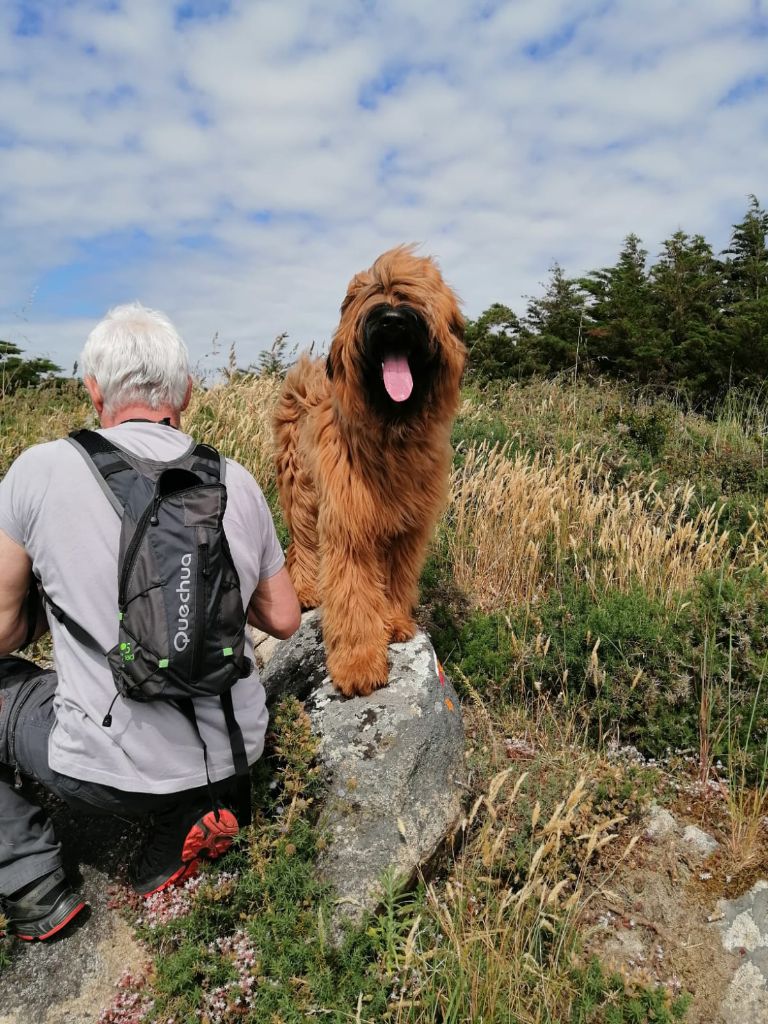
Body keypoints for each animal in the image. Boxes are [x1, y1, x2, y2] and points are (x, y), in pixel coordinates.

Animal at [276, 245, 468, 696]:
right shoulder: (349, 524)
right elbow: (352, 594)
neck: (390, 430)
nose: (393, 320)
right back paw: (306, 589)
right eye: (373, 295)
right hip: (301, 488)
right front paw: (358, 664)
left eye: (412, 295)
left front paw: (394, 622)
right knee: (302, 543)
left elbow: (396, 577)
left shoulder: (407, 527)